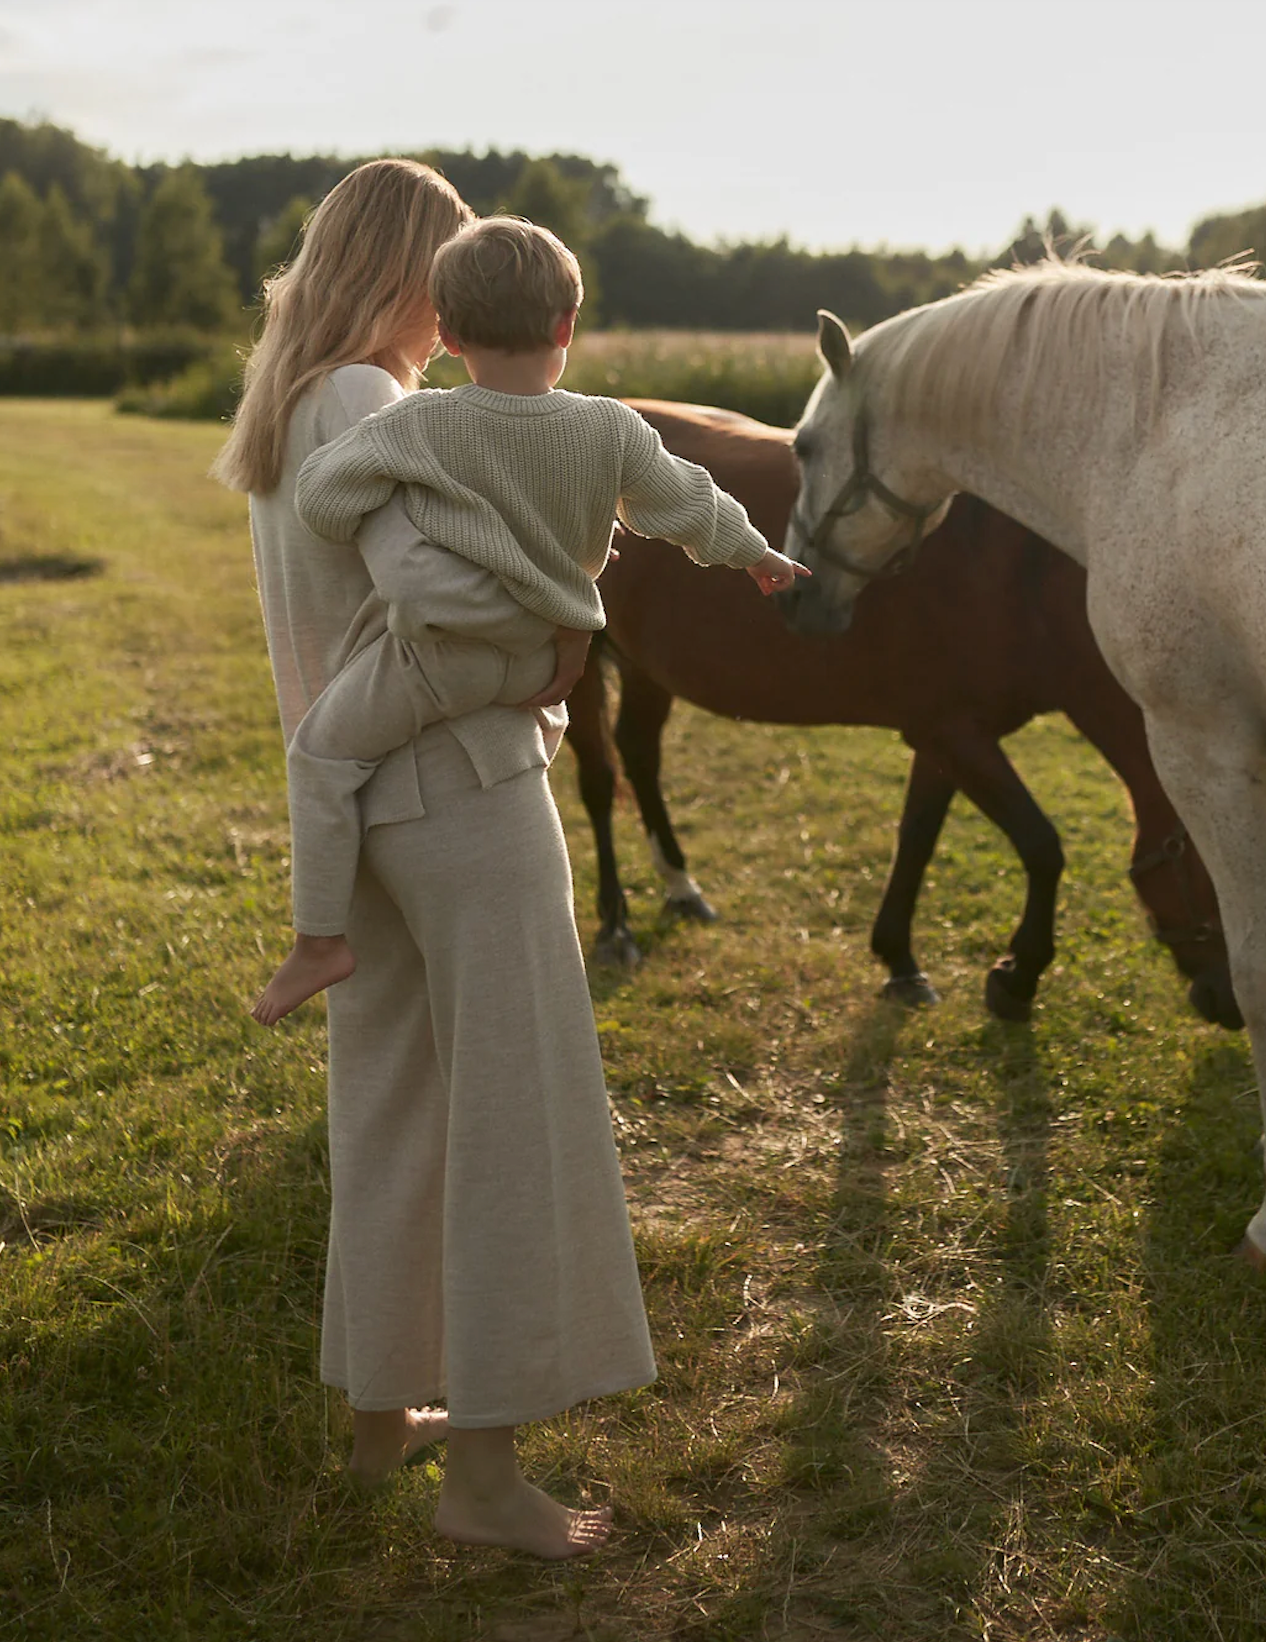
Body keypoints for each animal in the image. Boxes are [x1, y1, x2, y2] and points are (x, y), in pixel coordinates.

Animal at [564, 400, 1234, 1024]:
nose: (1230, 1004)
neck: (1023, 583)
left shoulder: (945, 735)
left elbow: (917, 839)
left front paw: (901, 962)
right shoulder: (955, 736)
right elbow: (1042, 847)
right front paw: (1017, 979)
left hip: (649, 668)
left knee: (640, 756)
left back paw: (682, 887)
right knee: (599, 781)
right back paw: (615, 926)